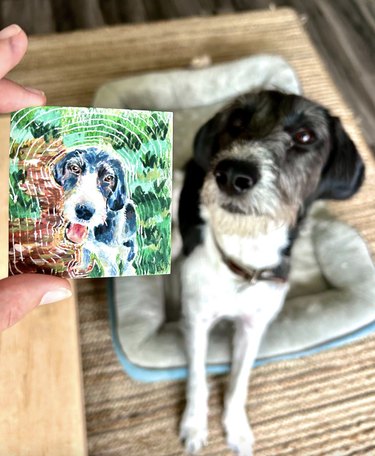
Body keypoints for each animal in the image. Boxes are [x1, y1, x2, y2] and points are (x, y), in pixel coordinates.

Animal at [178, 91, 366, 454]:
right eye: (237, 120)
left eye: (305, 136)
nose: (231, 173)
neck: (244, 260)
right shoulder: (197, 321)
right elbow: (196, 378)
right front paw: (194, 425)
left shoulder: (253, 328)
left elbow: (239, 381)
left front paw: (236, 428)